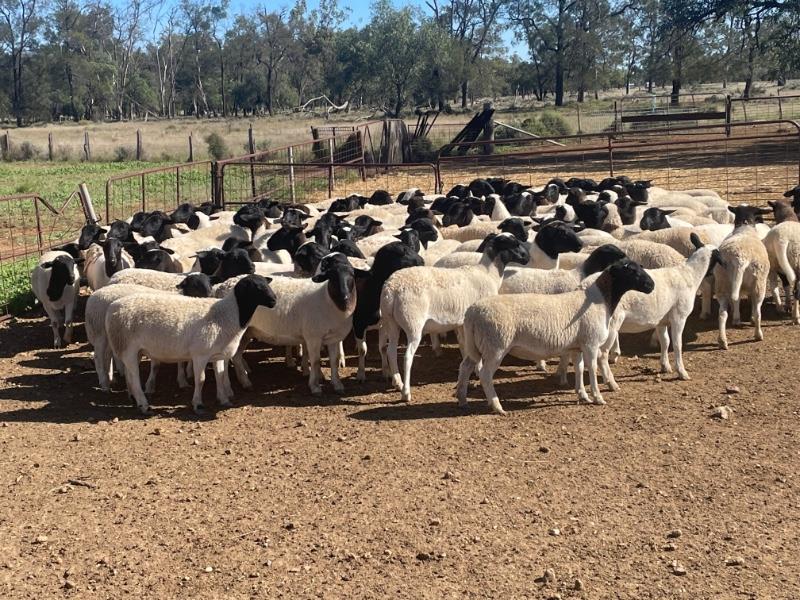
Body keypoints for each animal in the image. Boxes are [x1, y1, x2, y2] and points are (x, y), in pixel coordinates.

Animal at [106, 274, 276, 415]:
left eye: (266, 283)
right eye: (256, 287)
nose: (274, 300)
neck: (228, 314)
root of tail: (113, 308)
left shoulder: (217, 355)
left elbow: (220, 377)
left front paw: (223, 400)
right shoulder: (200, 354)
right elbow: (200, 379)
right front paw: (198, 405)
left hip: (135, 350)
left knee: (129, 375)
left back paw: (134, 399)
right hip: (127, 347)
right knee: (134, 377)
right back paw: (144, 405)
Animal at [381, 233, 530, 403]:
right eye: (513, 244)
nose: (526, 258)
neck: (488, 274)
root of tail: (392, 289)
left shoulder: (462, 323)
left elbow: (465, 347)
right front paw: (478, 371)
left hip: (391, 322)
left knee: (391, 351)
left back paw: (397, 382)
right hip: (413, 323)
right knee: (407, 357)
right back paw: (406, 392)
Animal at [456, 259, 654, 414]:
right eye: (630, 270)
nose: (651, 286)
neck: (601, 300)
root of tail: (472, 313)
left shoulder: (577, 346)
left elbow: (579, 368)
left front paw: (583, 395)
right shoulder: (591, 343)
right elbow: (591, 368)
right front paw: (597, 397)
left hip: (476, 346)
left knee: (465, 367)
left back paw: (462, 399)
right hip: (495, 346)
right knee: (485, 374)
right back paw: (497, 406)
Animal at [599, 235, 722, 390]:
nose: (711, 274)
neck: (690, 275)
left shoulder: (661, 321)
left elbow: (665, 342)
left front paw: (665, 366)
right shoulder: (679, 317)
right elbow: (677, 344)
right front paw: (681, 372)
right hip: (610, 324)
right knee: (602, 354)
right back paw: (611, 383)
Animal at [714, 205, 771, 349]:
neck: (745, 228)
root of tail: (739, 258)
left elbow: (737, 301)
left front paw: (736, 319)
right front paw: (749, 319)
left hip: (722, 283)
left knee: (722, 313)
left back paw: (722, 341)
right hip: (759, 282)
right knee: (758, 311)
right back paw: (758, 335)